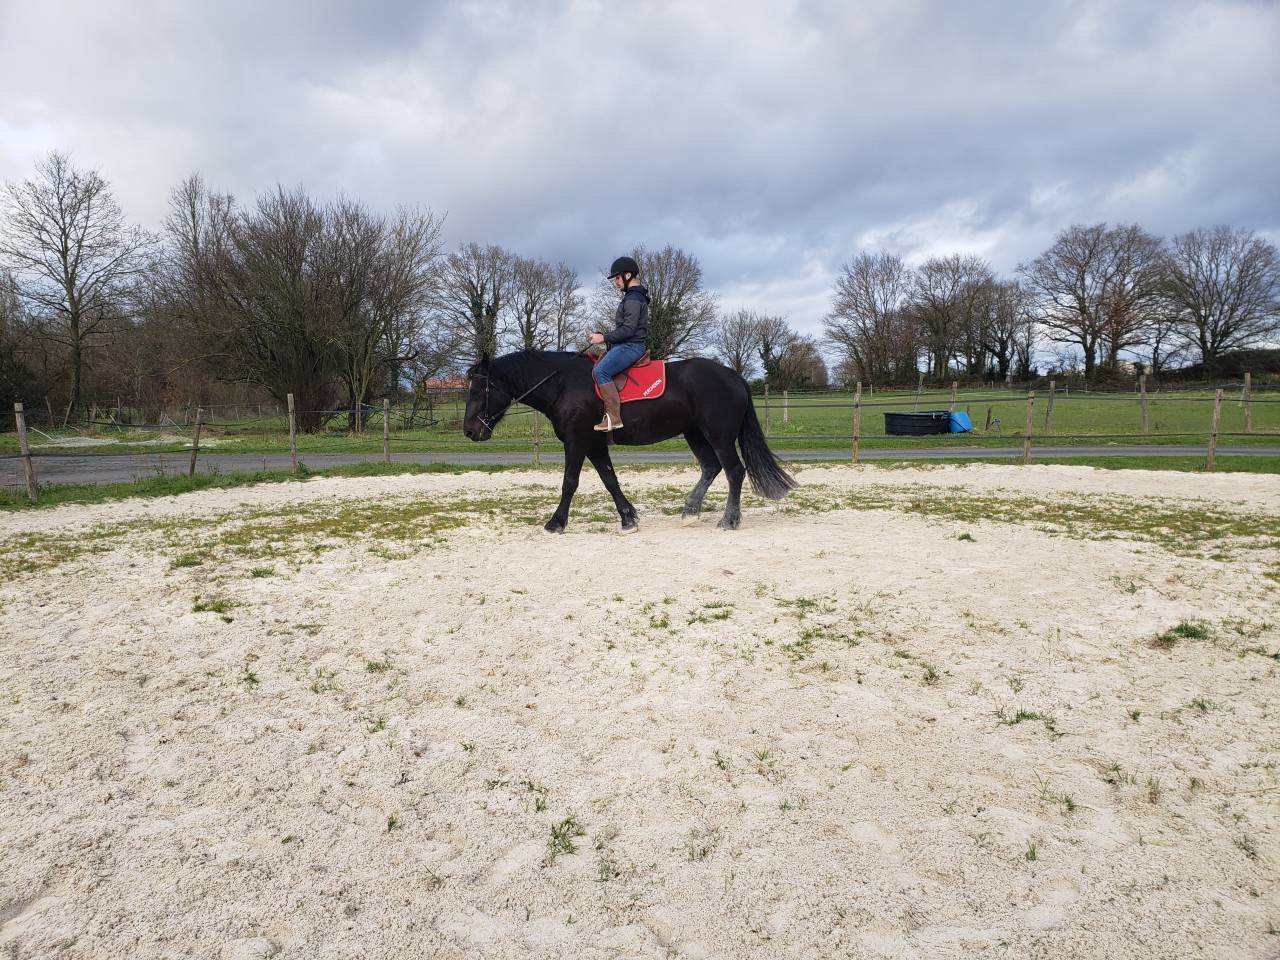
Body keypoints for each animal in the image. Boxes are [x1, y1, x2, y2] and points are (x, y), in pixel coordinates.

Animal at [462, 350, 796, 533]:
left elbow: (570, 482)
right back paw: (690, 510)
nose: (469, 432)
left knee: (734, 472)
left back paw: (729, 519)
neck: (562, 384)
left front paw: (556, 523)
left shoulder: (577, 441)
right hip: (695, 434)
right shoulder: (595, 445)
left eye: (479, 390)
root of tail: (735, 377)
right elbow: (610, 480)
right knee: (711, 468)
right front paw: (628, 518)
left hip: (719, 436)